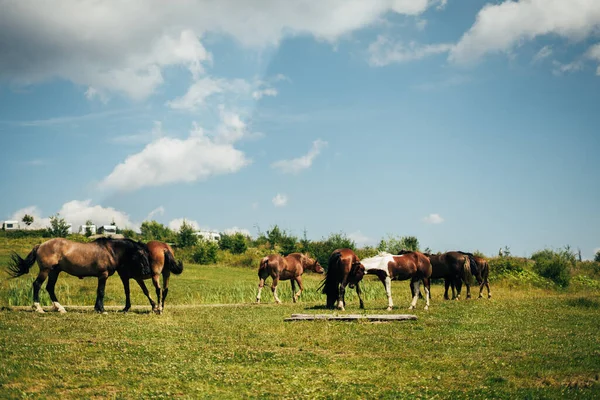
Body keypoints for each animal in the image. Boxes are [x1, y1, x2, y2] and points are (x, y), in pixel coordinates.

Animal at [6, 238, 150, 312]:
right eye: (141, 255)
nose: (147, 271)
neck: (109, 250)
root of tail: (40, 245)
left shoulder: (101, 276)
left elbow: (98, 292)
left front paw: (97, 308)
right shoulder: (103, 275)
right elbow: (101, 292)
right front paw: (102, 309)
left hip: (54, 271)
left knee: (50, 288)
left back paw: (60, 308)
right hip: (45, 270)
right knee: (37, 285)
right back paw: (38, 308)